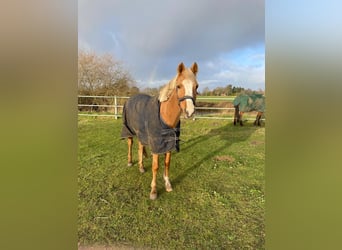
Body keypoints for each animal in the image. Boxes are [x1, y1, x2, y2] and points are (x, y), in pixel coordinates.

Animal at [121, 62, 199, 199]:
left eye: (197, 86)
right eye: (178, 86)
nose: (190, 112)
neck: (165, 116)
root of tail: (130, 99)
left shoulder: (169, 144)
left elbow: (167, 163)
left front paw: (167, 184)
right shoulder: (156, 145)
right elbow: (155, 166)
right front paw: (153, 191)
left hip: (141, 133)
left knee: (140, 147)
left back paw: (141, 167)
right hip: (129, 130)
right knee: (130, 144)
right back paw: (130, 162)